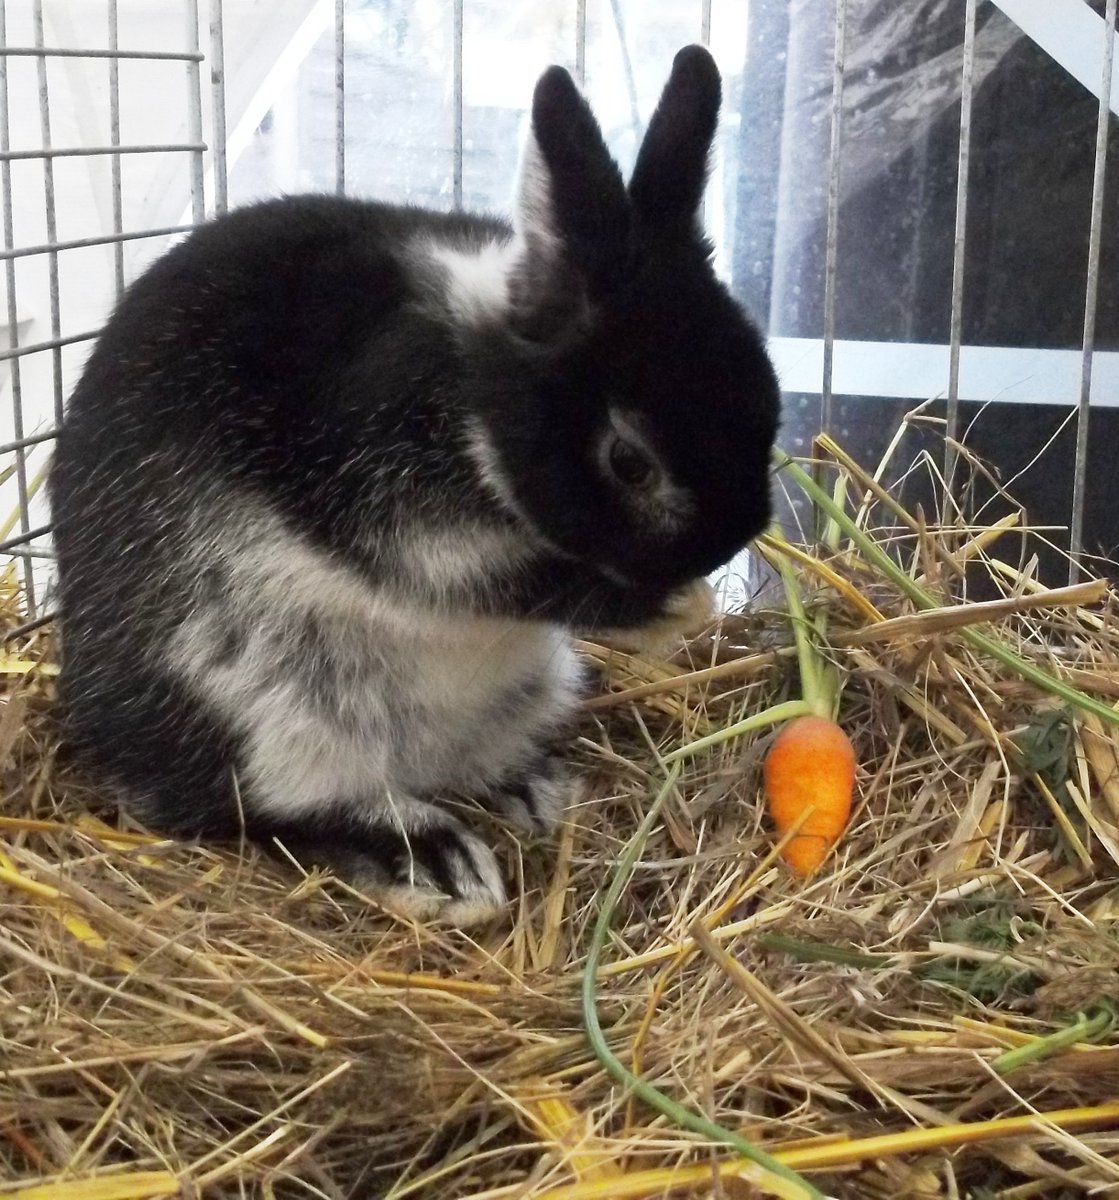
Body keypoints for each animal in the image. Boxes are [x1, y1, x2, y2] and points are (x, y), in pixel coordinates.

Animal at [48, 45, 780, 925]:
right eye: (629, 461)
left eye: (767, 398)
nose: (728, 542)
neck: (475, 391)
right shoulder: (400, 510)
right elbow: (511, 583)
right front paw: (671, 608)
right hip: (265, 708)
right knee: (262, 807)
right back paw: (435, 861)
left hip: (521, 690)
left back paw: (529, 791)